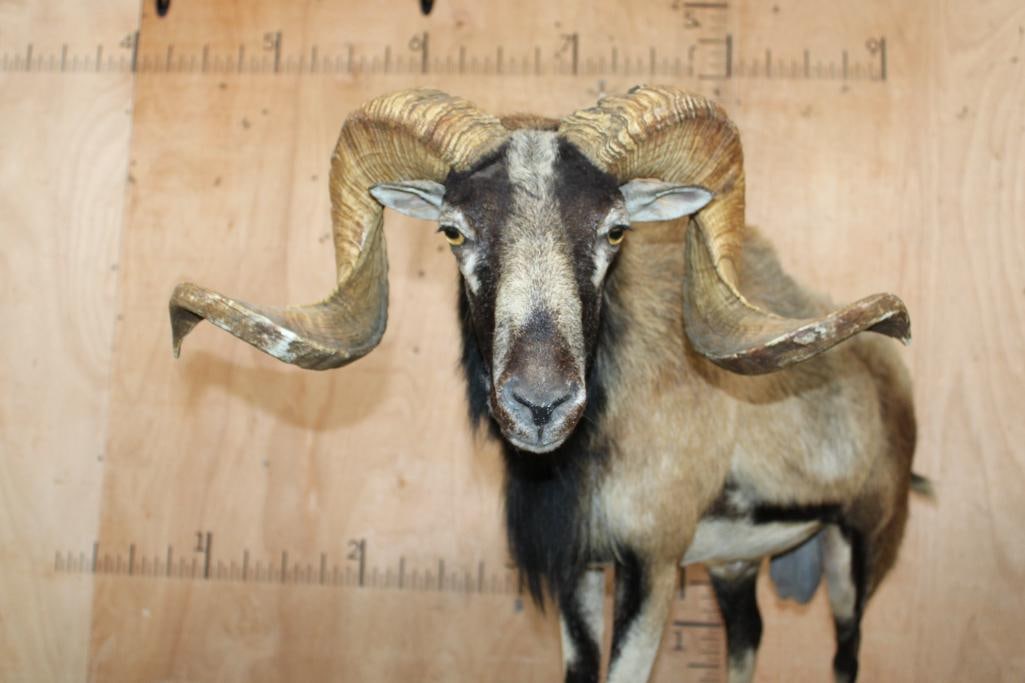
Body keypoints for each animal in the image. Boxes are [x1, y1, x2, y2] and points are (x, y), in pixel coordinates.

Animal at [169, 86, 921, 683]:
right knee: (748, 640)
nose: (540, 403)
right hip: (739, 568)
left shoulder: (652, 564)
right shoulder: (579, 567)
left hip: (861, 550)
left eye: (615, 230)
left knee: (845, 654)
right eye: (453, 230)